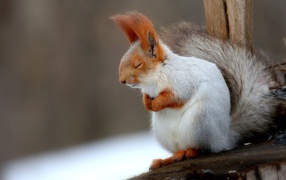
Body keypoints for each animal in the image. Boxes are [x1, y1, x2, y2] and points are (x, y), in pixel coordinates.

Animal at [111, 11, 286, 170]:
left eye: (138, 64)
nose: (122, 81)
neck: (155, 78)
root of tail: (223, 138)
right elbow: (148, 97)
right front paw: (147, 104)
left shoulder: (182, 83)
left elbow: (174, 97)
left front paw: (156, 104)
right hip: (164, 133)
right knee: (179, 149)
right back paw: (167, 159)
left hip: (200, 121)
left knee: (203, 148)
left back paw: (189, 152)